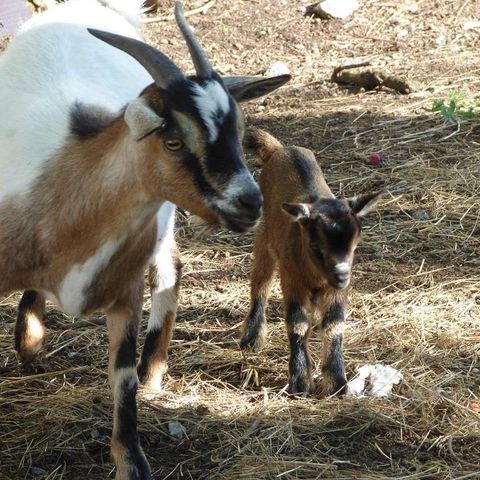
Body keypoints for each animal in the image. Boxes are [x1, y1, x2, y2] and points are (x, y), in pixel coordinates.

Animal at [0, 1, 290, 477]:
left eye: (238, 129)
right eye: (172, 141)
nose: (250, 202)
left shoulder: (126, 291)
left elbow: (123, 379)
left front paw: (131, 461)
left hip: (165, 218)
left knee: (171, 268)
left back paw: (153, 369)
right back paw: (32, 338)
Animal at [240, 129, 381, 396]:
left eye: (354, 245)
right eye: (316, 245)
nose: (341, 276)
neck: (317, 275)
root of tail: (281, 149)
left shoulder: (337, 291)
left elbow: (334, 325)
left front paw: (337, 383)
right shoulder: (292, 280)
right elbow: (297, 323)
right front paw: (299, 381)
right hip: (264, 237)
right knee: (260, 282)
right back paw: (252, 338)